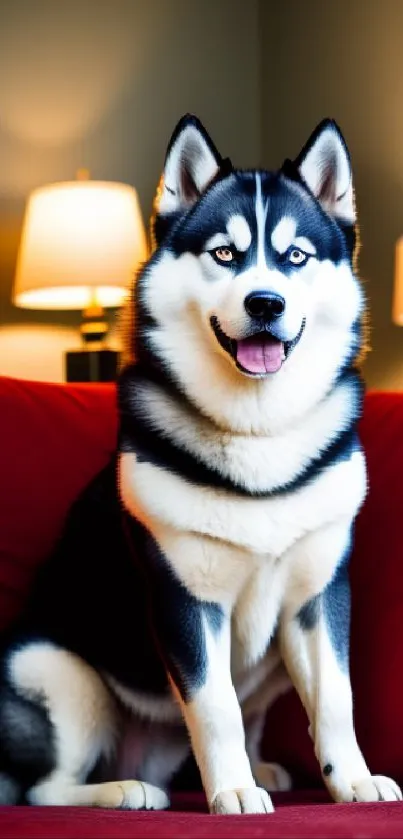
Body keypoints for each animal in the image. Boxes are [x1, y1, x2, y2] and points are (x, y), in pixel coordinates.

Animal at [0, 118, 400, 812]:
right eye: (225, 254)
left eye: (296, 257)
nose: (266, 302)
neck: (257, 428)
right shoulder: (184, 595)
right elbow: (216, 706)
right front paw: (234, 791)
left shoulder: (320, 593)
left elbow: (335, 701)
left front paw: (349, 778)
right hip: (54, 668)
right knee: (41, 790)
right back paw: (123, 789)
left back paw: (258, 766)